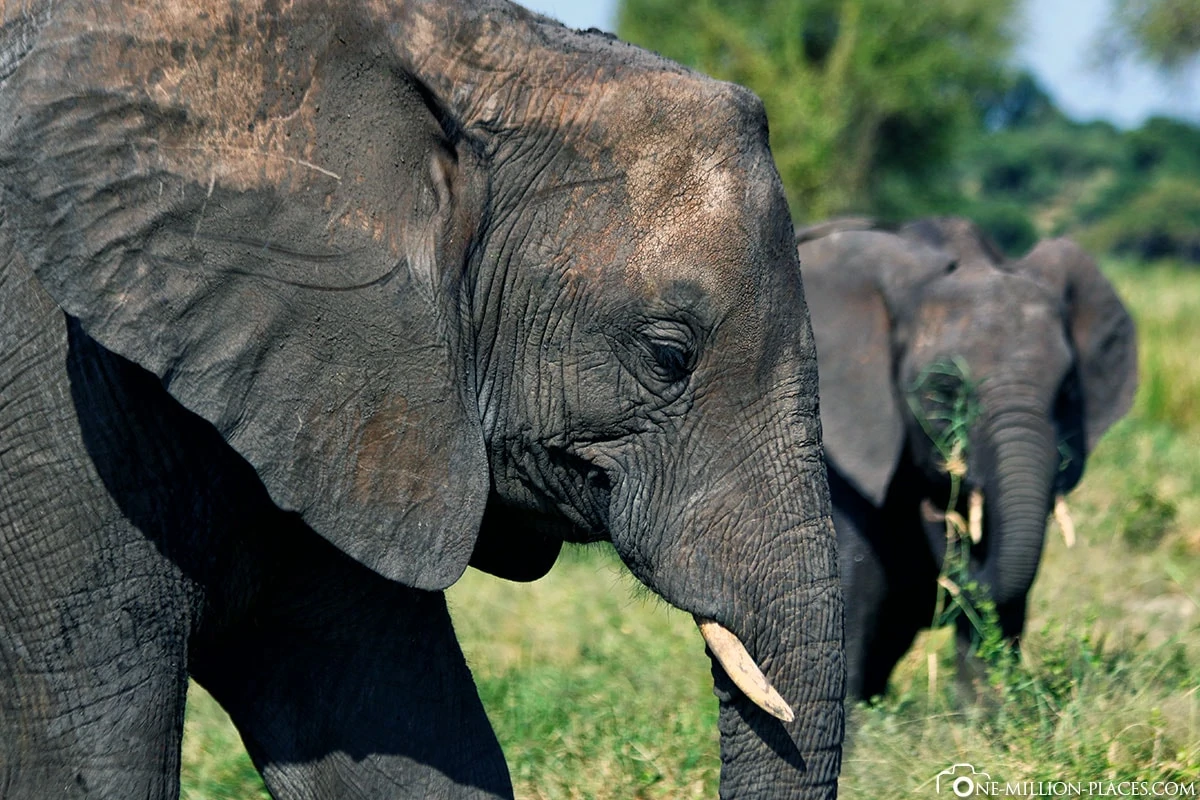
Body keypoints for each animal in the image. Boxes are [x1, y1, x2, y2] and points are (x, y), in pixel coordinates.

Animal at [796, 217, 1136, 701]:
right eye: (944, 391)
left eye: (1068, 391)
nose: (940, 500)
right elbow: (855, 579)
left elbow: (1006, 584)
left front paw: (983, 713)